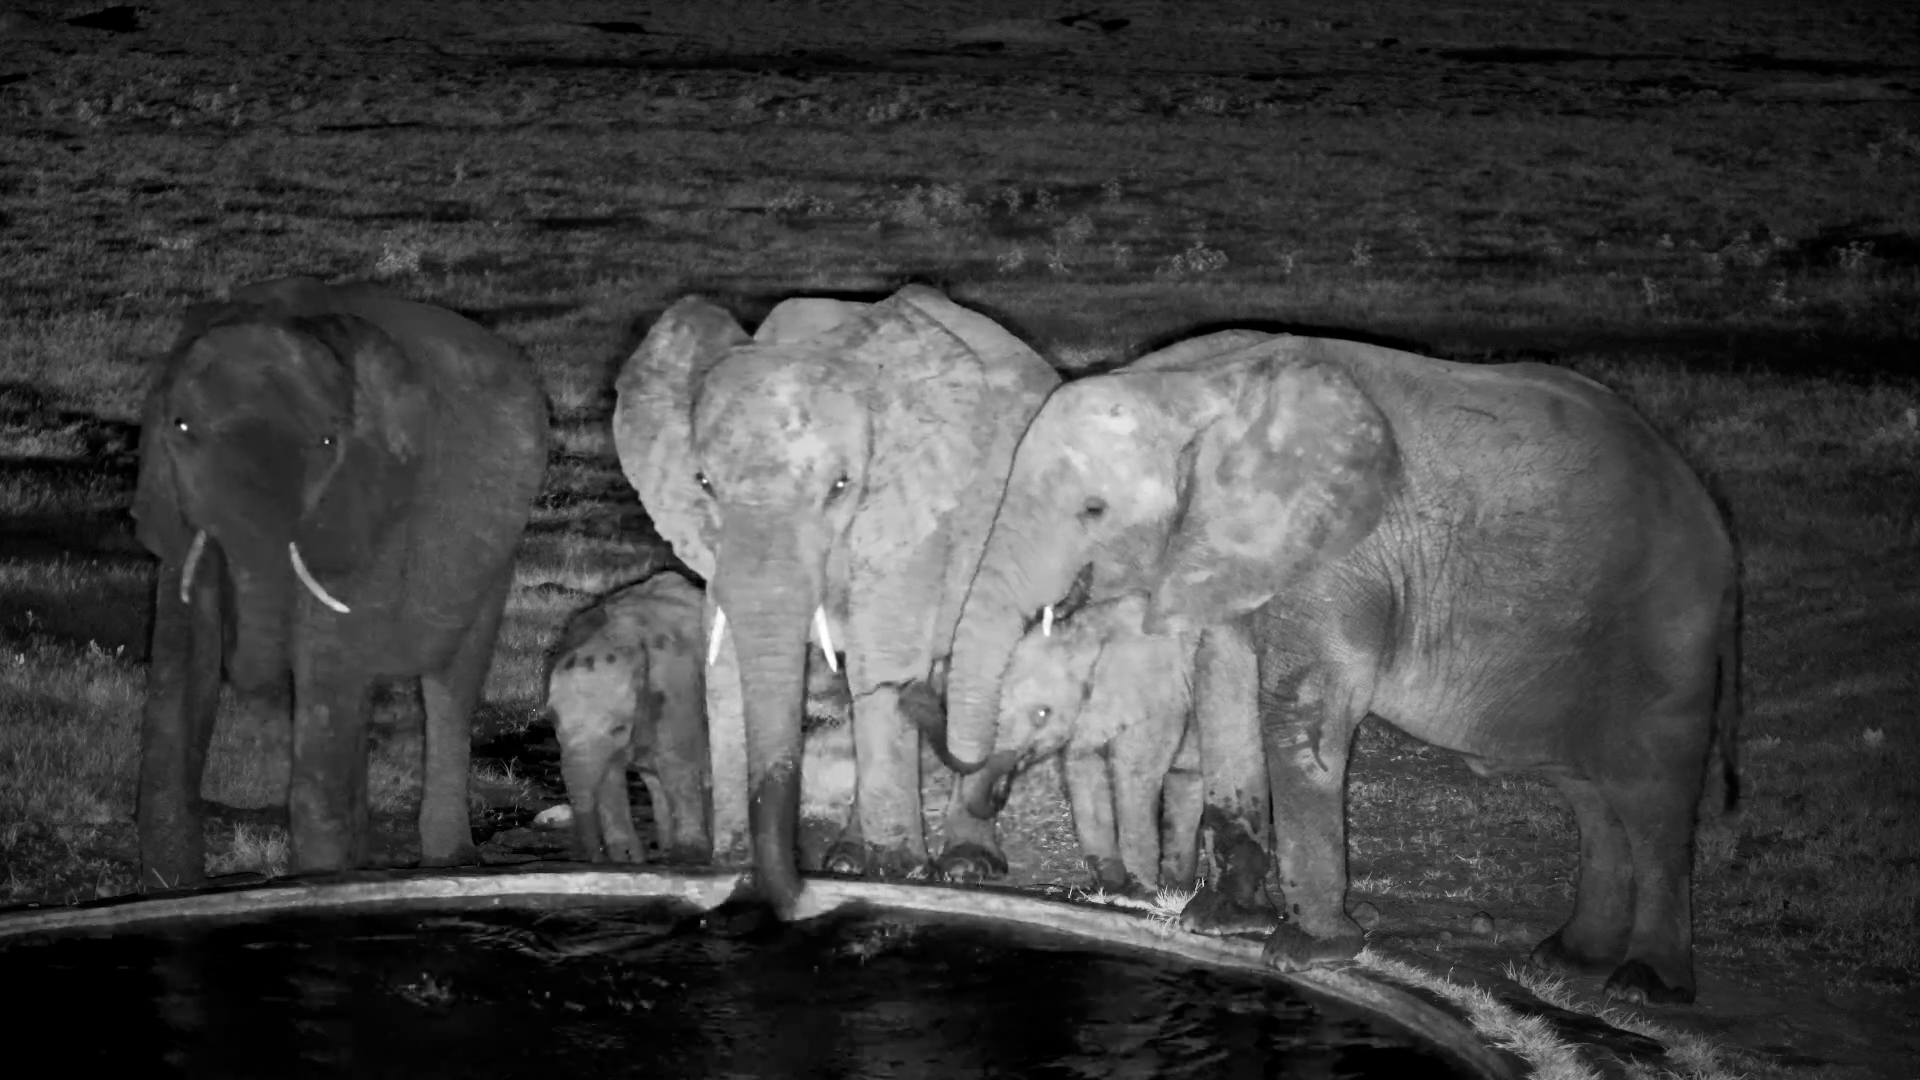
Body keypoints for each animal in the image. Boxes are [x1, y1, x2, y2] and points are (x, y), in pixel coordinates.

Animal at [131, 275, 550, 887]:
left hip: (496, 555)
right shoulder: (172, 508)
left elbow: (329, 663)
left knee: (450, 681)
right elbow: (182, 657)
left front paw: (316, 883)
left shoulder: (376, 503)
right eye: (182, 428)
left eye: (329, 444)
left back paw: (447, 862)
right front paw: (171, 891)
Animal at [543, 570, 858, 864]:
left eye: (619, 727)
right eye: (554, 724)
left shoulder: (677, 691)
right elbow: (613, 775)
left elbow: (678, 766)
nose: (593, 859)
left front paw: (686, 857)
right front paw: (630, 859)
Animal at [613, 285, 1059, 916]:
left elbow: (881, 669)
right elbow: (723, 672)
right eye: (703, 483)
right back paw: (847, 859)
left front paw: (901, 876)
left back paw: (964, 865)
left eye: (842, 487)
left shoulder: (914, 520)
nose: (787, 895)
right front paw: (728, 868)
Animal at [966, 592, 1201, 898]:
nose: (999, 793)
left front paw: (1142, 894)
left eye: (1042, 714)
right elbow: (1082, 771)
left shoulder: (1158, 706)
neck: (1091, 636)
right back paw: (1178, 891)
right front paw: (1112, 887)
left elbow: (1135, 778)